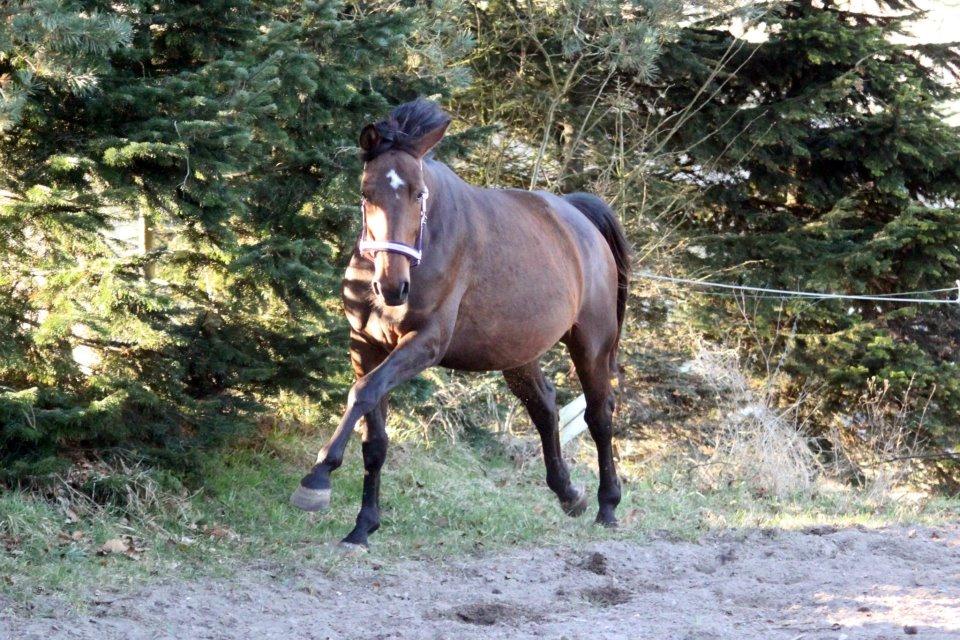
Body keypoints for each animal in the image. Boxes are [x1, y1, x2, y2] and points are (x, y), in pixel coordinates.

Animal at [290, 97, 632, 548]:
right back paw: (569, 494)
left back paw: (607, 506)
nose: (392, 286)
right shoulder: (366, 346)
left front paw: (317, 479)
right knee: (544, 407)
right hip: (517, 351)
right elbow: (374, 435)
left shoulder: (425, 343)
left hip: (591, 343)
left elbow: (362, 394)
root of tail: (580, 217)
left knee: (598, 415)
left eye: (418, 193)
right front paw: (363, 526)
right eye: (366, 193)